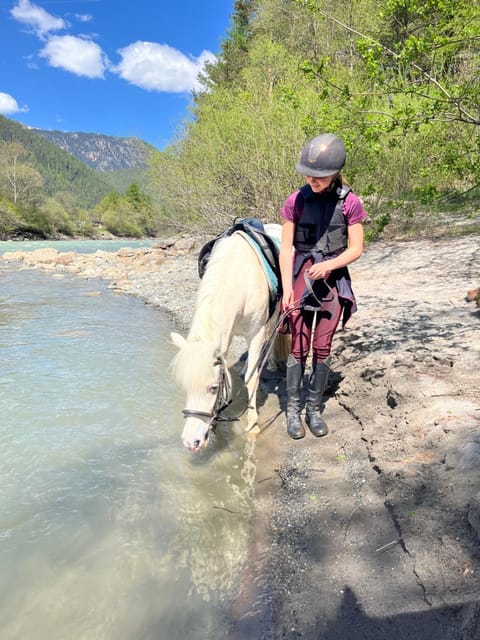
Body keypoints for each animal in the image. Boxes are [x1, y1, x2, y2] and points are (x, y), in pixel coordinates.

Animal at [171, 224, 287, 452]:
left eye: (213, 388)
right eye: (185, 387)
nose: (191, 442)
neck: (240, 276)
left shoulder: (256, 332)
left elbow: (253, 379)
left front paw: (253, 424)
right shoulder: (227, 332)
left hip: (276, 313)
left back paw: (269, 363)